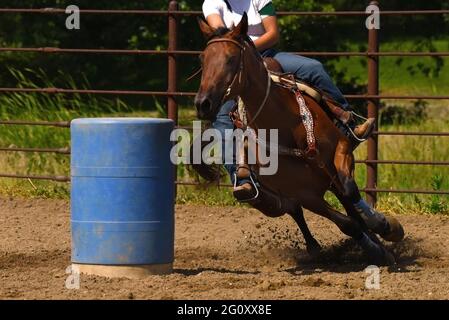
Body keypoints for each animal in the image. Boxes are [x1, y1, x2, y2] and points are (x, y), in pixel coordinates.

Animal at [192, 13, 402, 264]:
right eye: (203, 59)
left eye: (231, 58)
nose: (203, 103)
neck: (289, 127)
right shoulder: (304, 194)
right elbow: (347, 224)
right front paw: (376, 250)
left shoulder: (341, 150)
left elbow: (351, 193)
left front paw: (383, 226)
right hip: (285, 196)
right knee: (298, 212)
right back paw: (314, 247)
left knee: (344, 197)